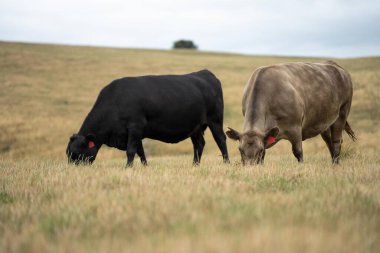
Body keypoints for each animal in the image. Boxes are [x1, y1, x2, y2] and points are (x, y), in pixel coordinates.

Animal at [66, 70, 229, 167]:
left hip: (215, 120)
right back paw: (195, 165)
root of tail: (205, 73)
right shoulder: (134, 133)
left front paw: (127, 168)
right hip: (196, 127)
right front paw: (144, 167)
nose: (72, 169)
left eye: (78, 155)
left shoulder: (135, 127)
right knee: (199, 144)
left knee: (220, 139)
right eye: (68, 154)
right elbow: (140, 151)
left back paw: (226, 162)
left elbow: (131, 150)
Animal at [227, 60, 358, 165]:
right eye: (240, 150)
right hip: (324, 121)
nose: (250, 167)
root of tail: (335, 65)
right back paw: (334, 163)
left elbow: (298, 152)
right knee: (329, 141)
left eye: (259, 150)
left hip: (343, 112)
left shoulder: (295, 128)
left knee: (336, 141)